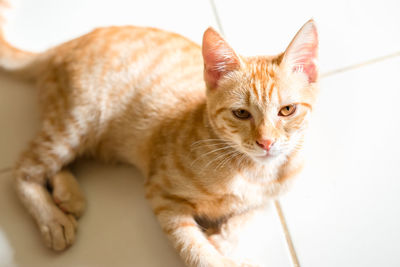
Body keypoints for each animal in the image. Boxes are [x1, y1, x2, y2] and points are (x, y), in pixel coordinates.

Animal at [0, 2, 318, 266]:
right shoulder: (161, 193)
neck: (253, 171)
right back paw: (53, 218)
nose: (266, 142)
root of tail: (62, 46)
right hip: (75, 121)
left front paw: (223, 241)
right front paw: (215, 254)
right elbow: (193, 248)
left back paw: (68, 194)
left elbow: (252, 213)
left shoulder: (277, 193)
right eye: (241, 113)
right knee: (24, 169)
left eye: (287, 110)